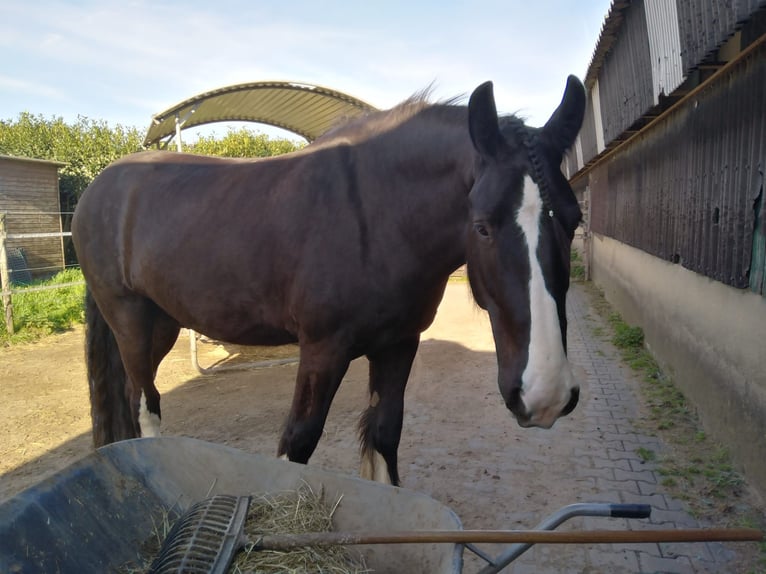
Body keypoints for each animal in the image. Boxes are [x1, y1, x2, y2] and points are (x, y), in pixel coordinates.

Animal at [72, 76, 586, 486]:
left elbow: (384, 434)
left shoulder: (398, 344)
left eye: (575, 218)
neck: (375, 215)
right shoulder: (322, 349)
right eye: (482, 226)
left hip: (162, 323)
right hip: (130, 320)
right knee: (145, 401)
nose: (545, 395)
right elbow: (298, 441)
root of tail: (99, 187)